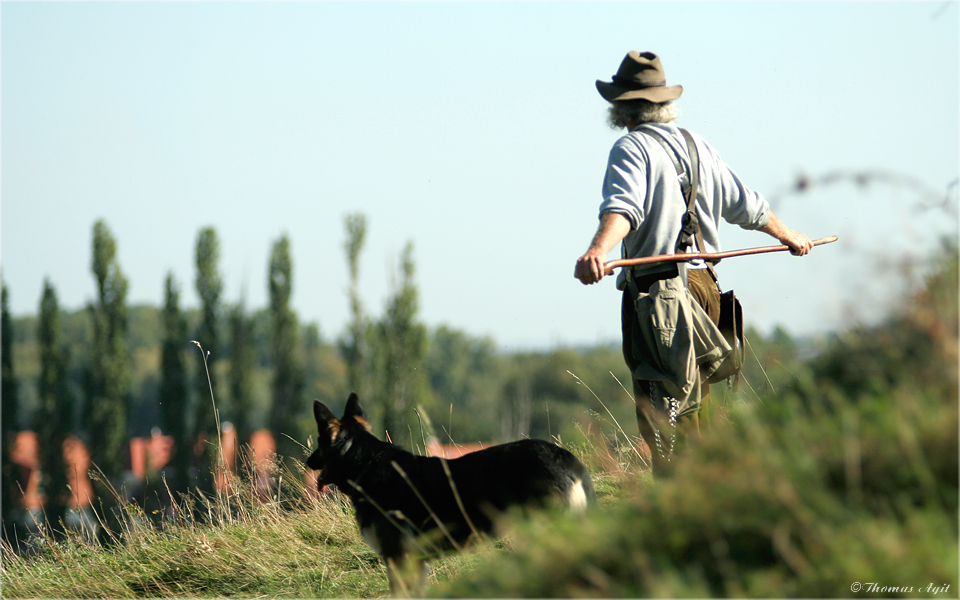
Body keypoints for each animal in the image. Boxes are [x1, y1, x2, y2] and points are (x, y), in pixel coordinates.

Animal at [306, 392, 592, 592]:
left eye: (319, 442)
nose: (308, 462)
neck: (366, 463)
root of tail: (568, 460)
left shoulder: (399, 559)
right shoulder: (414, 562)